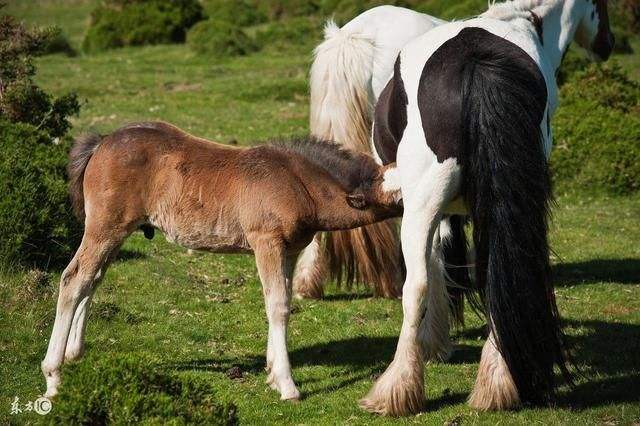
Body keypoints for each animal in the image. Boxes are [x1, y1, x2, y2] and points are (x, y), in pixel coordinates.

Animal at [41, 121, 400, 402]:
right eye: (401, 191)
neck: (298, 181)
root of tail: (101, 142)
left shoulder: (289, 250)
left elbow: (281, 300)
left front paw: (272, 370)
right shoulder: (266, 242)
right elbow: (277, 305)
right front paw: (287, 385)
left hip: (113, 233)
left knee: (93, 279)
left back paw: (74, 353)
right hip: (105, 228)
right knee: (74, 279)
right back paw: (53, 376)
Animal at [360, 0, 616, 416]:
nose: (607, 44)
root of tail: (476, 61)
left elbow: (434, 267)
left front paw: (434, 343)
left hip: (421, 205)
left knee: (416, 285)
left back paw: (396, 391)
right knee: (501, 273)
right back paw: (498, 384)